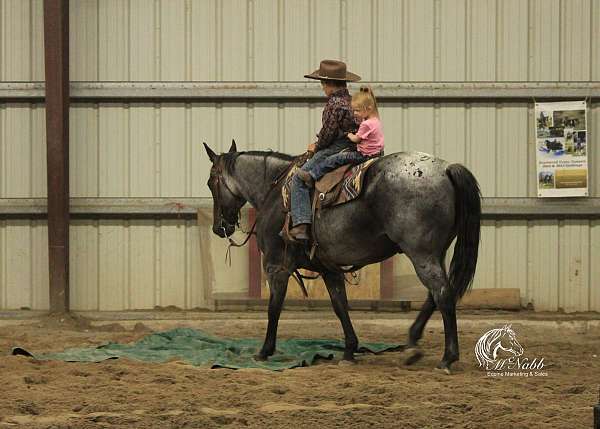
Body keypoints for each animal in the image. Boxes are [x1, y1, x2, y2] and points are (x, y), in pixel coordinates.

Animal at [204, 140, 480, 372]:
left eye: (210, 182)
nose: (218, 227)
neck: (275, 192)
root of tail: (446, 169)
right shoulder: (329, 269)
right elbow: (340, 306)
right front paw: (349, 351)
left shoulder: (276, 266)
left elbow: (274, 308)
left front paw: (264, 351)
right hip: (435, 254)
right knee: (435, 295)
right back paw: (412, 344)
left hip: (421, 254)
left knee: (442, 294)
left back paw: (447, 358)